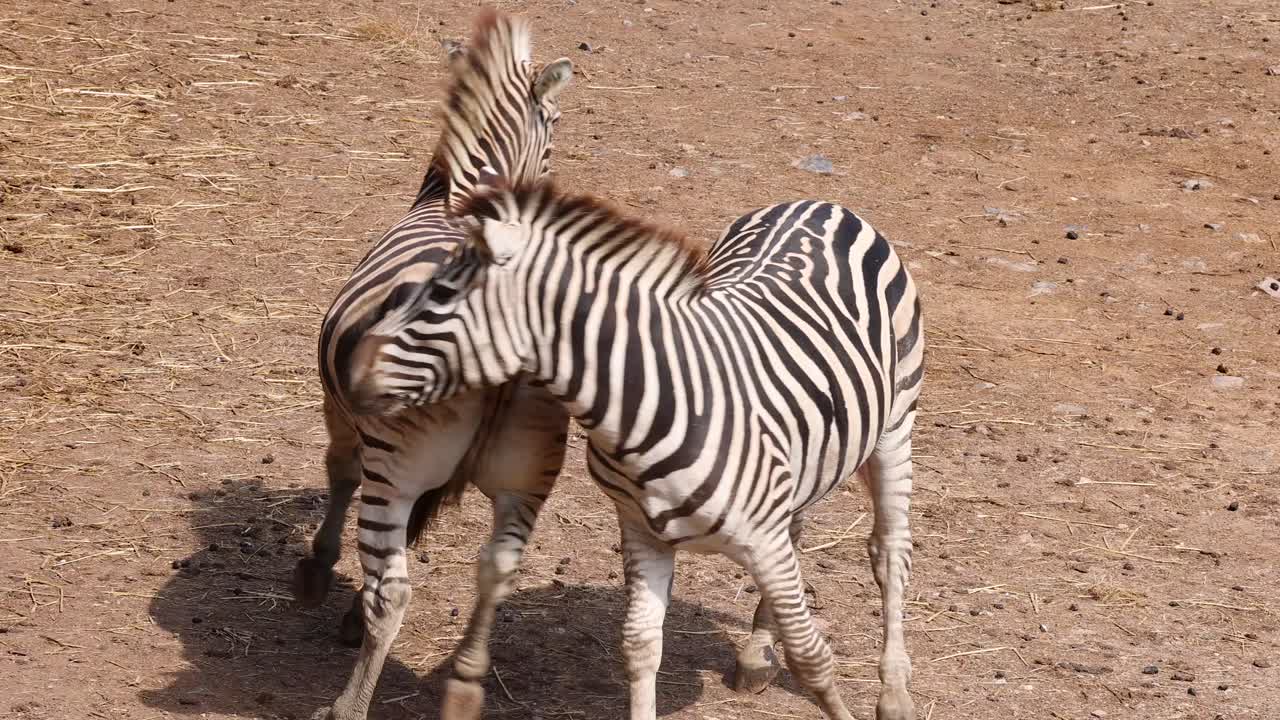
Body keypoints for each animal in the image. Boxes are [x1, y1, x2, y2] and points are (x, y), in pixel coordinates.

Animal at [301, 12, 574, 720]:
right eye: (556, 125)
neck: (452, 198)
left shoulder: (341, 411)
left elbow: (338, 472)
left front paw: (316, 570)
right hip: (526, 480)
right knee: (498, 571)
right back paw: (464, 684)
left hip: (394, 467)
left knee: (393, 593)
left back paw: (346, 706)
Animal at [348, 179, 926, 720]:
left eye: (441, 296)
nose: (351, 373)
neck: (647, 405)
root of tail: (823, 203)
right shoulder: (642, 530)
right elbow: (641, 647)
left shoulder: (763, 539)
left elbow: (811, 657)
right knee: (803, 528)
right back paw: (757, 655)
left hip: (895, 427)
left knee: (889, 551)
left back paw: (894, 692)